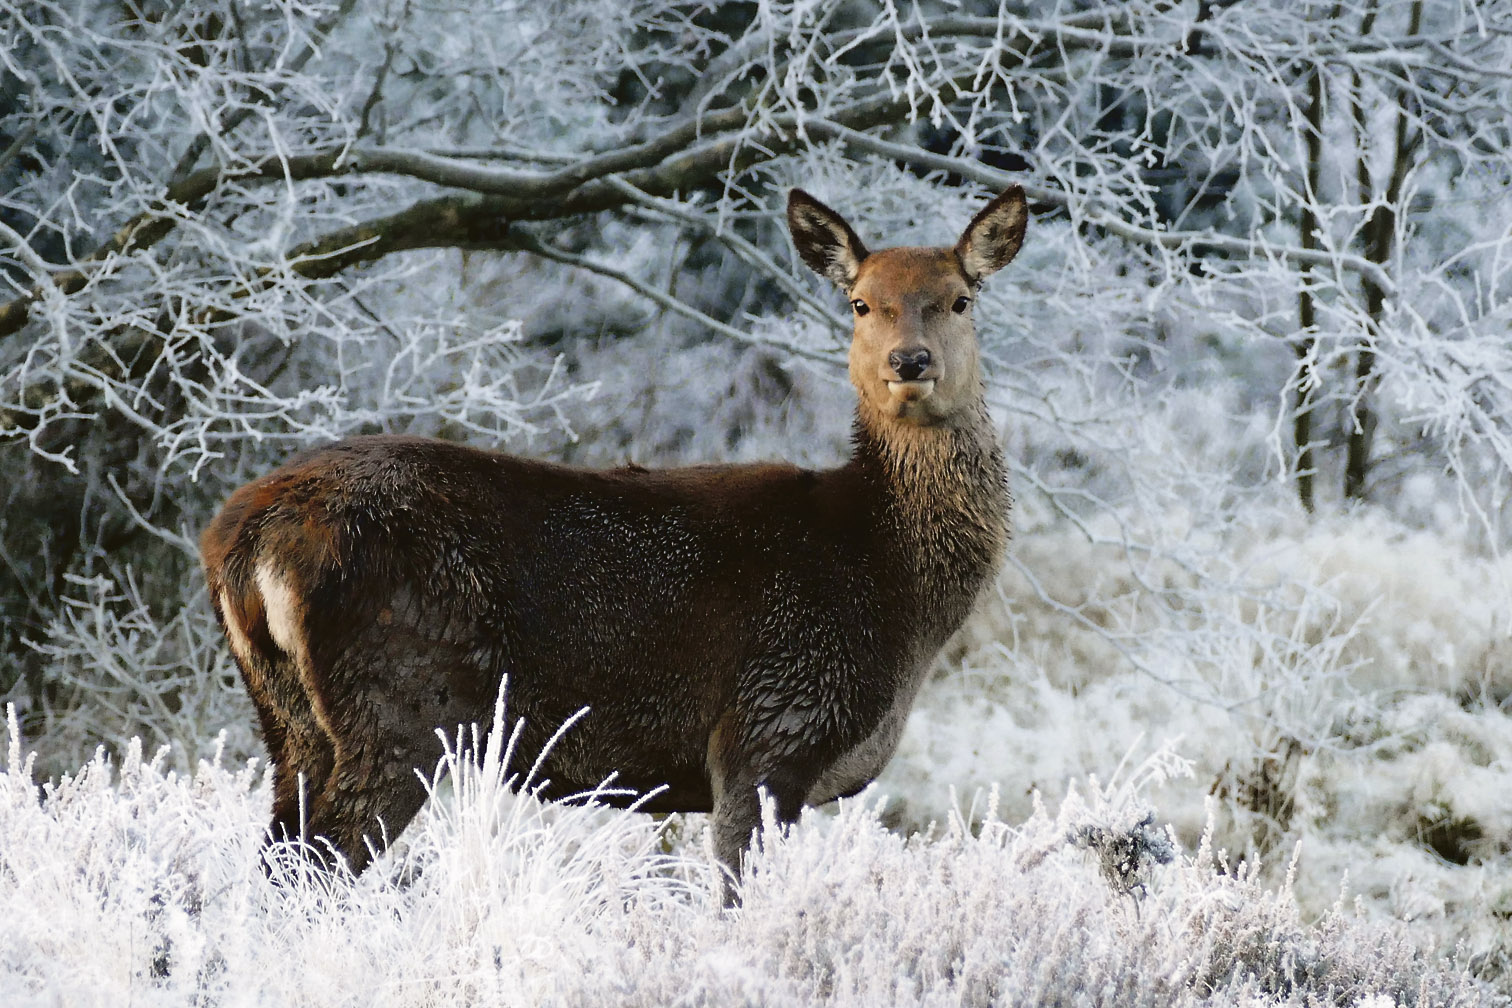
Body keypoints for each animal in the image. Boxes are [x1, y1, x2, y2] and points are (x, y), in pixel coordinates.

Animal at [198, 187, 1028, 900]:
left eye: (960, 299)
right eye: (861, 303)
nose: (909, 362)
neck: (892, 587)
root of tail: (242, 538)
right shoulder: (768, 729)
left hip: (289, 721)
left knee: (277, 861)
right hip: (401, 702)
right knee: (317, 868)